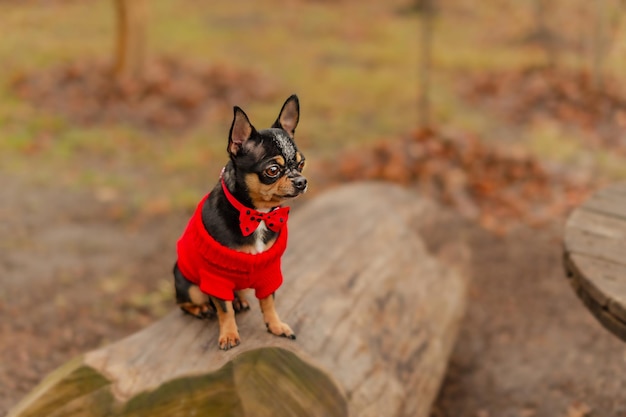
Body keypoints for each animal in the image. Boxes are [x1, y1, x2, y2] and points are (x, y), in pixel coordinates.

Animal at [172, 94, 306, 348]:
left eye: (302, 163)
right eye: (273, 170)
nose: (302, 181)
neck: (258, 215)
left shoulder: (269, 272)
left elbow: (269, 302)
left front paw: (276, 326)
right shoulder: (216, 277)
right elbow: (224, 311)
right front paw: (229, 335)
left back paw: (239, 300)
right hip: (189, 284)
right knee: (186, 303)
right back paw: (202, 308)